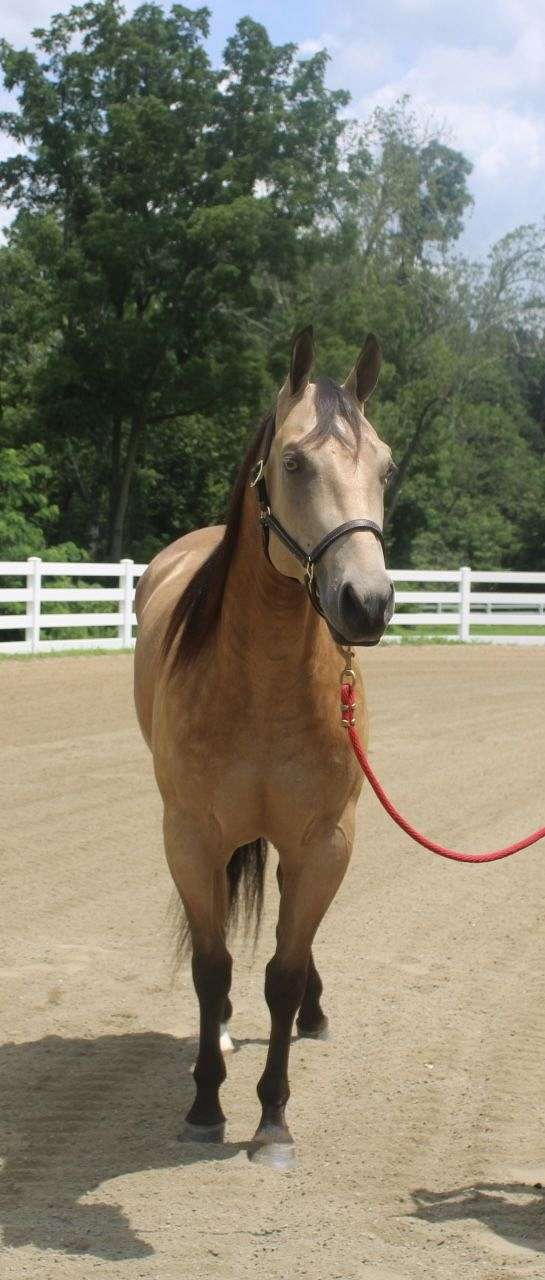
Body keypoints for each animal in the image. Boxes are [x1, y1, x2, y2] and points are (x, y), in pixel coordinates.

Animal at [134, 327, 395, 1167]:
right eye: (294, 462)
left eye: (385, 467)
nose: (365, 604)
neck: (262, 684)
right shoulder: (189, 835)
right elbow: (212, 968)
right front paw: (204, 1106)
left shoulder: (324, 840)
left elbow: (281, 972)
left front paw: (272, 1119)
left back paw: (312, 1010)